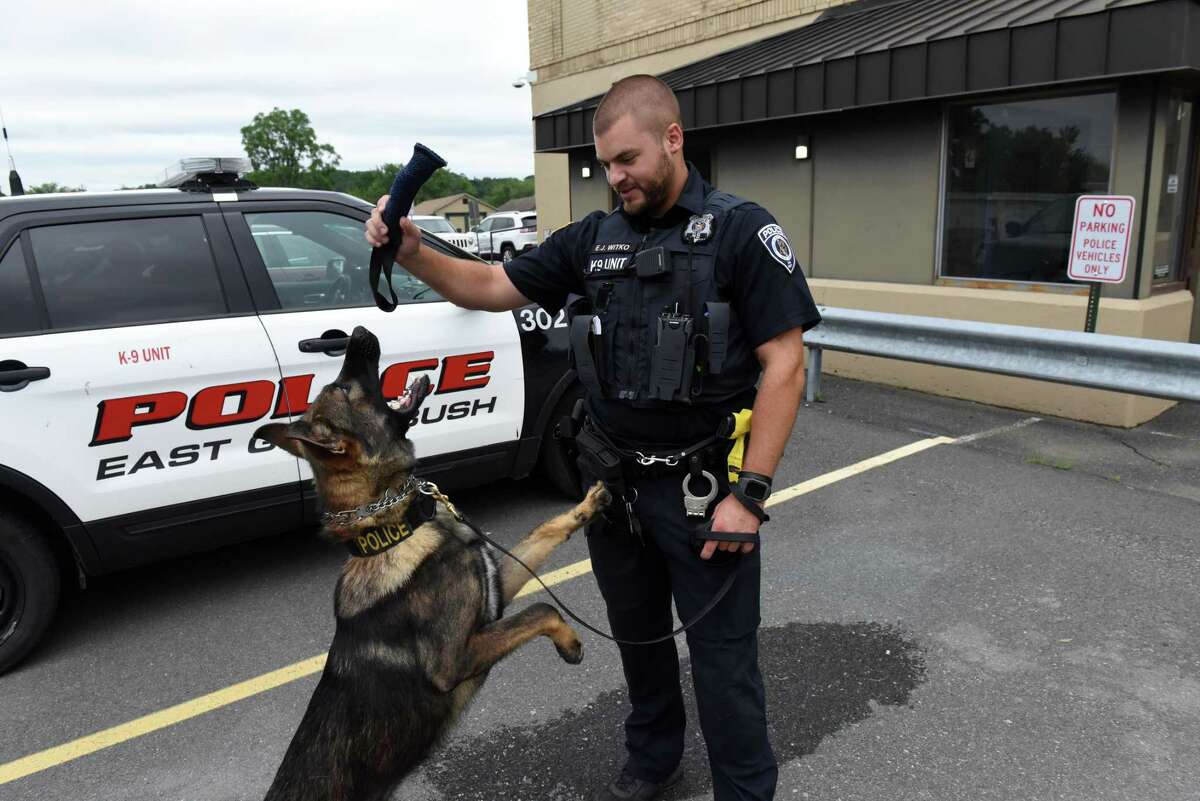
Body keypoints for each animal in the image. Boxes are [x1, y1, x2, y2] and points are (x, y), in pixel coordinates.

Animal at [254, 326, 609, 801]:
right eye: (342, 388)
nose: (359, 331)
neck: (396, 528)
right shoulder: (455, 661)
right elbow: (542, 609)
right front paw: (570, 642)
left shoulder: (496, 590)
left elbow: (545, 533)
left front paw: (587, 505)